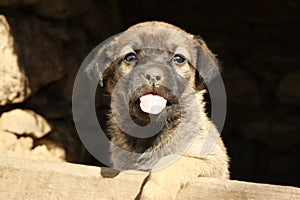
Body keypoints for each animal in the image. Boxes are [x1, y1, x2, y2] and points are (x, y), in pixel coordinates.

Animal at [86, 21, 230, 199]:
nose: (153, 76)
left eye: (179, 58)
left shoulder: (212, 161)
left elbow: (173, 160)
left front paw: (155, 192)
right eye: (130, 57)